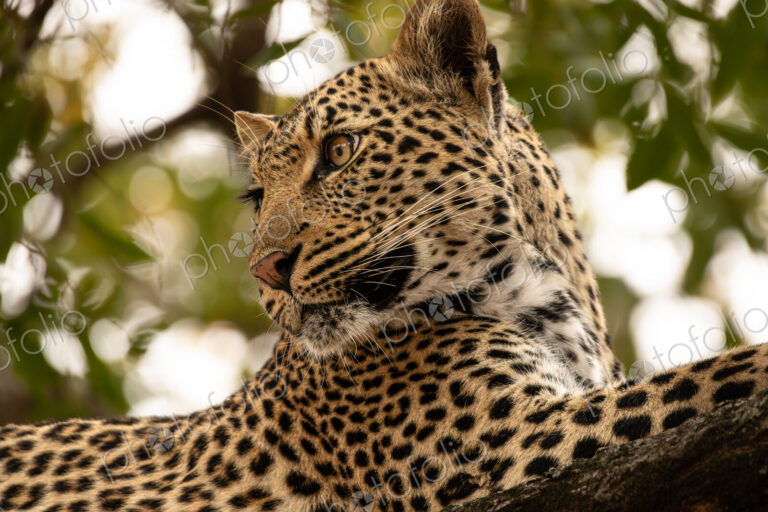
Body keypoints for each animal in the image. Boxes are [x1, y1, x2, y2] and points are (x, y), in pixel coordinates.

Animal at [2, 0, 768, 511]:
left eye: (340, 151)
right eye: (258, 197)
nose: (265, 272)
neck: (552, 295)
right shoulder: (506, 442)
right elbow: (710, 375)